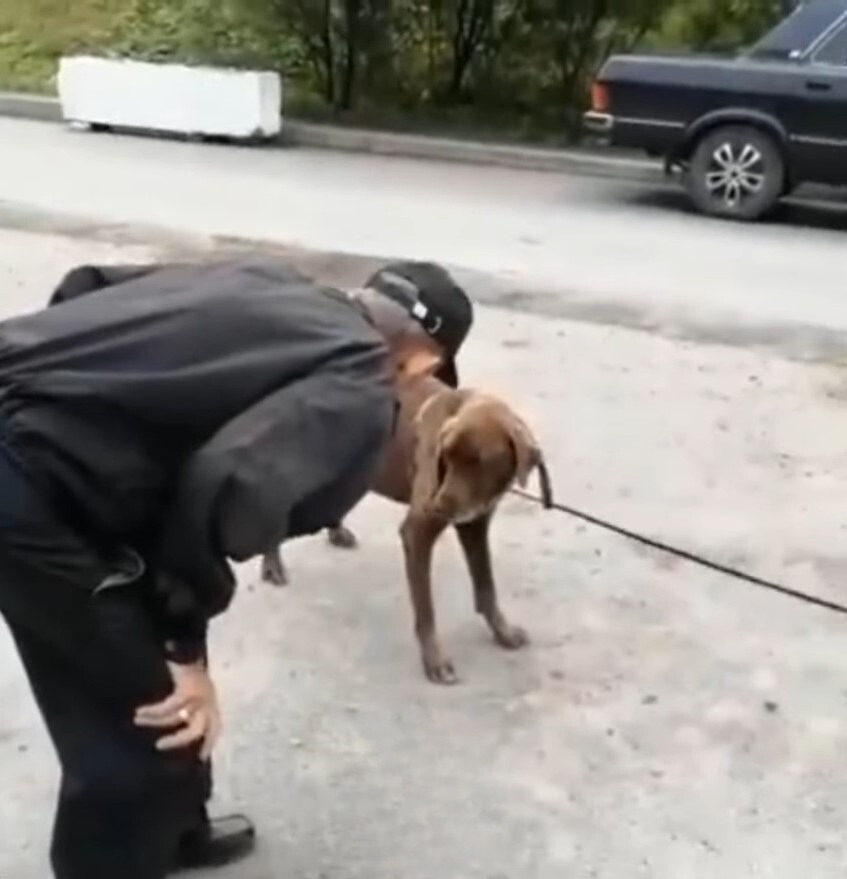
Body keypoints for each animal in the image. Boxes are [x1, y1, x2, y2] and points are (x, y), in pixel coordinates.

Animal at [262, 374, 552, 684]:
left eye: (480, 461)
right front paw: (435, 661)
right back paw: (272, 565)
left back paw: (337, 531)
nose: (437, 506)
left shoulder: (474, 524)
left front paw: (502, 632)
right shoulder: (418, 532)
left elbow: (486, 587)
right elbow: (426, 610)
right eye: (445, 457)